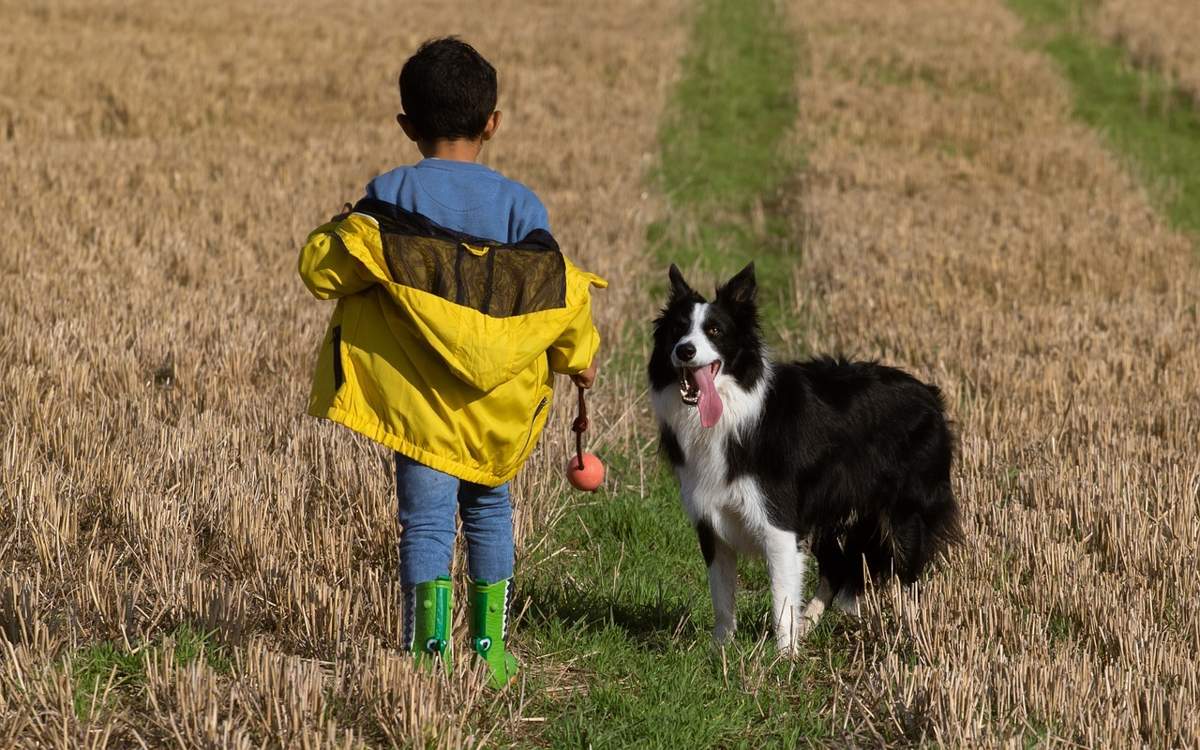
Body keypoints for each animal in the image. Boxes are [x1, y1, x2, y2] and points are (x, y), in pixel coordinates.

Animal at [648, 266, 955, 652]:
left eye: (715, 331)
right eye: (678, 329)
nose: (685, 351)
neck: (734, 410)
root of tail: (930, 395)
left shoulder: (779, 522)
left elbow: (780, 596)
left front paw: (783, 657)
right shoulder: (711, 521)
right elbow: (722, 597)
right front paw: (721, 649)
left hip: (905, 513)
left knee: (908, 577)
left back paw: (914, 638)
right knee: (838, 567)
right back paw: (810, 622)